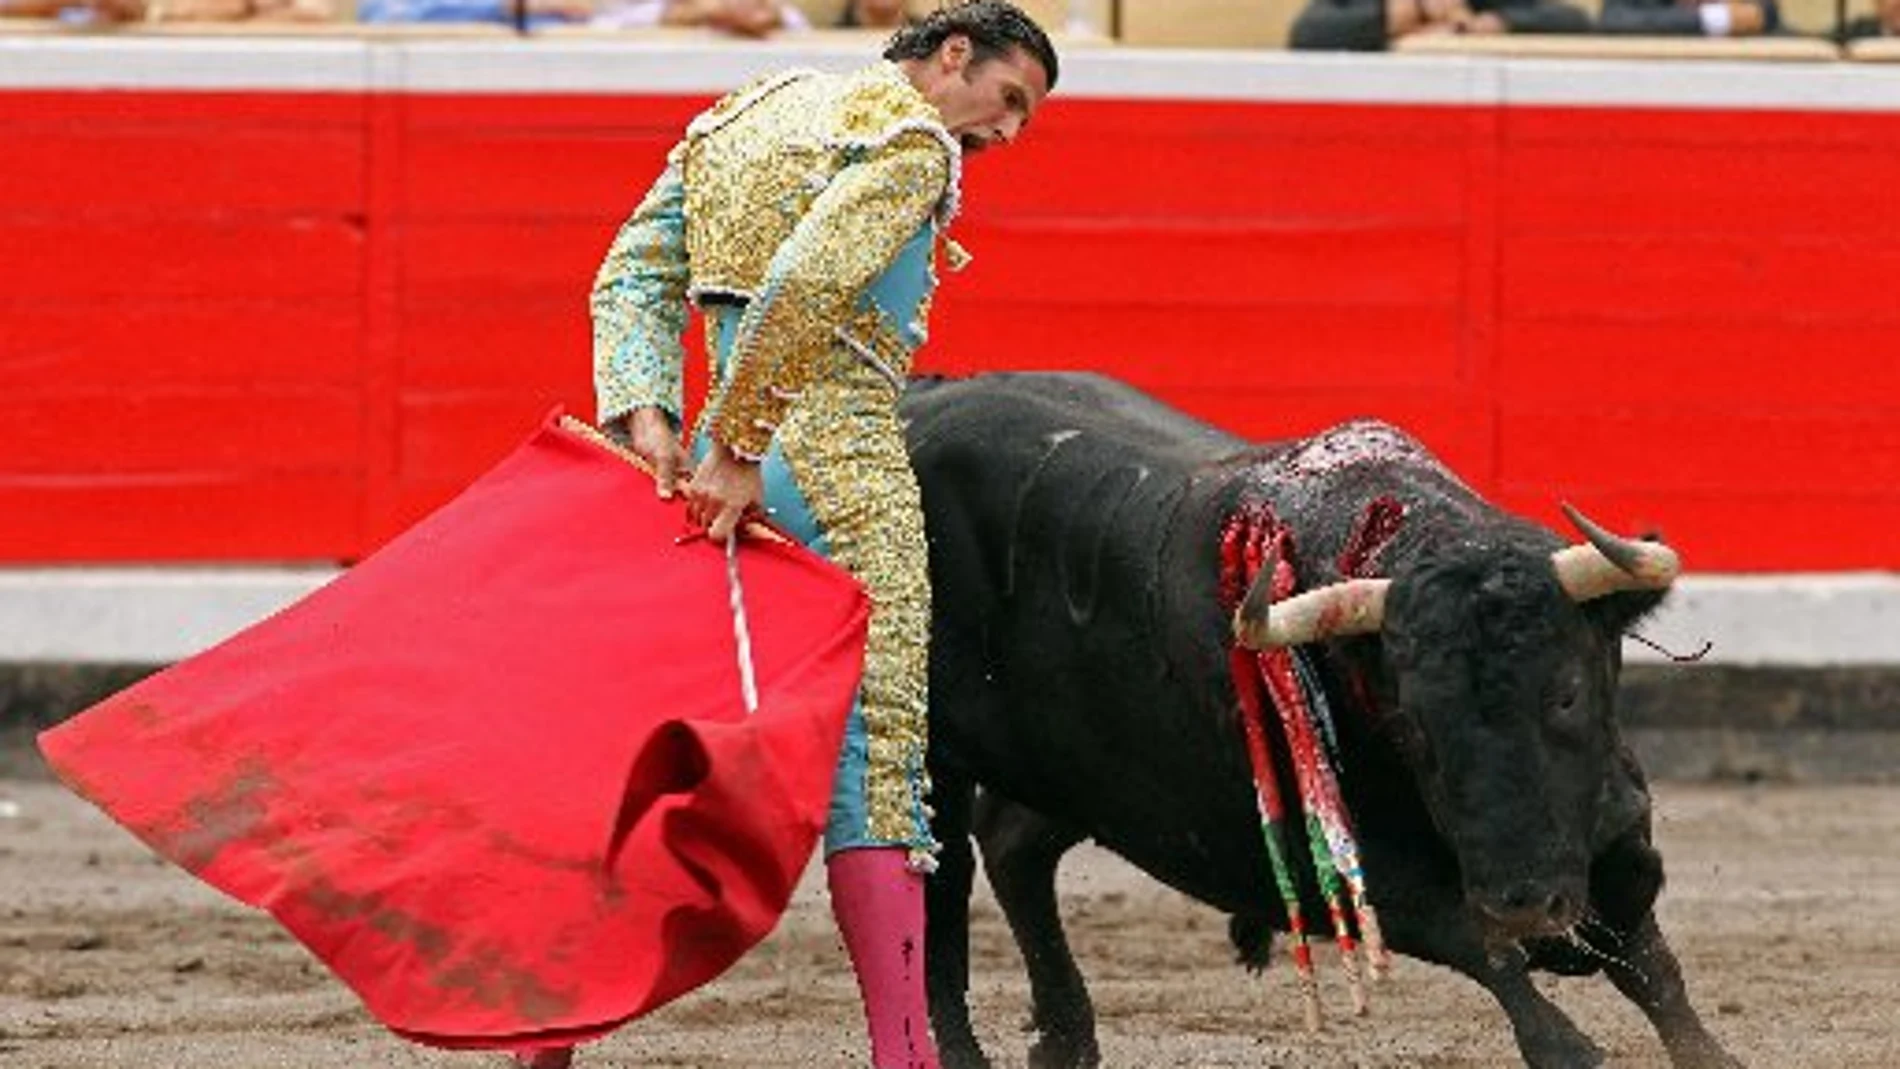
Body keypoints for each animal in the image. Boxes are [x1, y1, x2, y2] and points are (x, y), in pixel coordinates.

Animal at [900, 374, 1740, 1069]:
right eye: (1413, 725)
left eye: (1566, 693)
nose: (1524, 903)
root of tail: (918, 406)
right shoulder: (1346, 864)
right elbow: (1482, 948)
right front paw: (1565, 1033)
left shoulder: (1618, 837)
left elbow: (1654, 970)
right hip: (933, 757)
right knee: (939, 899)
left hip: (1085, 768)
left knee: (1013, 843)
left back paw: (1067, 1037)